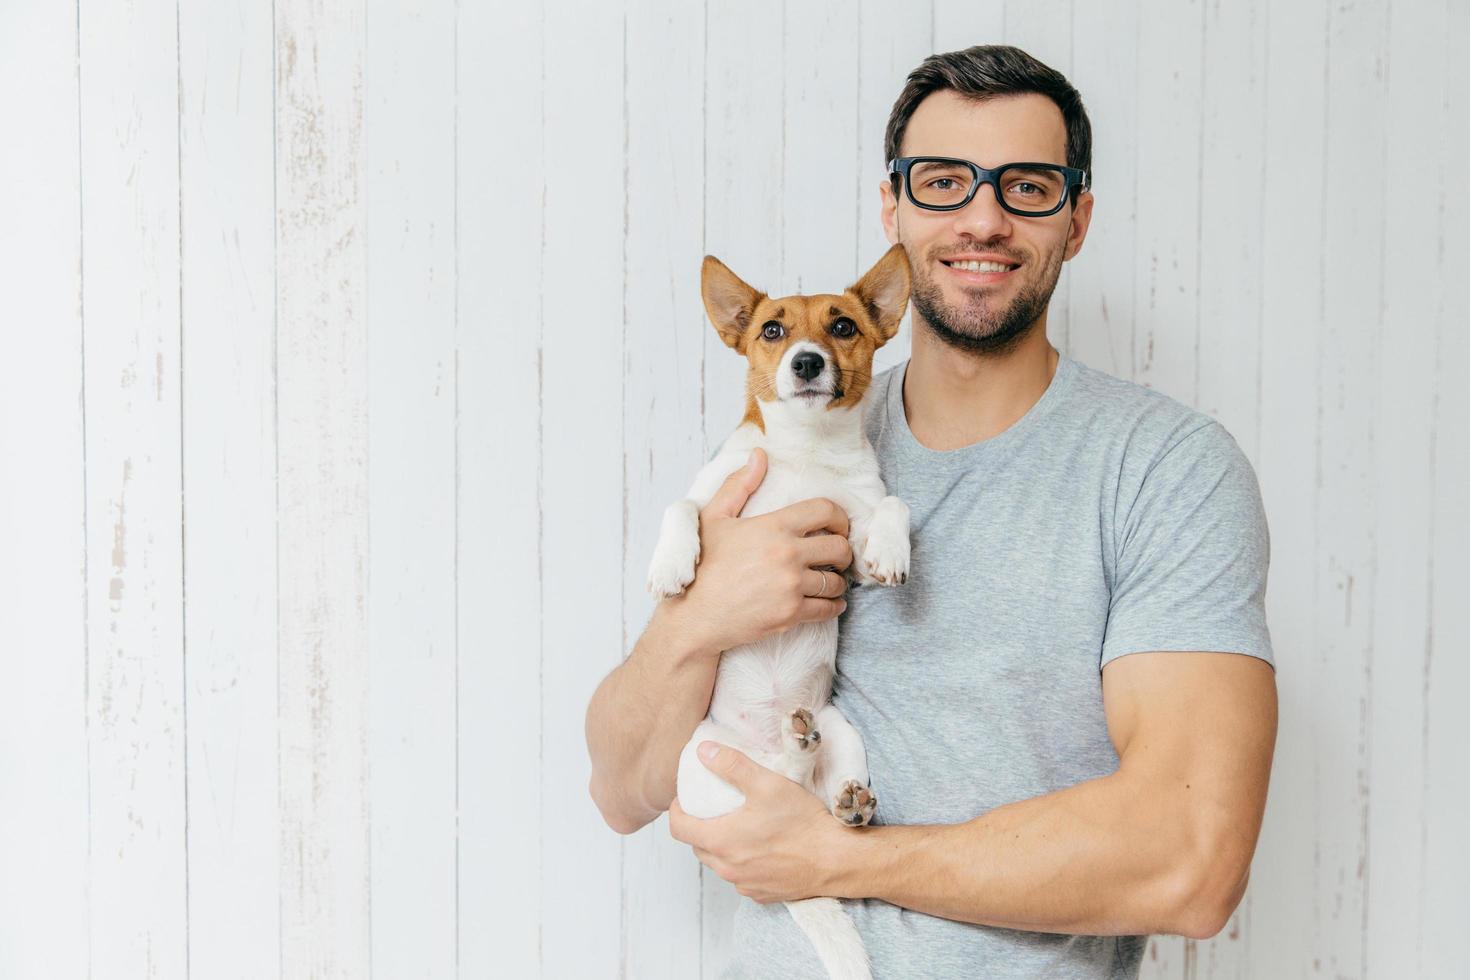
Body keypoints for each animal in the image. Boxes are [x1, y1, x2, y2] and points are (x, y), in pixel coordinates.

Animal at [649, 243, 911, 980]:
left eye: (843, 326)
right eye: (772, 329)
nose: (806, 362)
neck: (807, 452)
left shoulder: (848, 537)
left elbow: (890, 507)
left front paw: (893, 549)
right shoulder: (717, 494)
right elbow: (680, 505)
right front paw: (672, 564)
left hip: (841, 729)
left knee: (813, 792)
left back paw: (838, 792)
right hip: (701, 761)